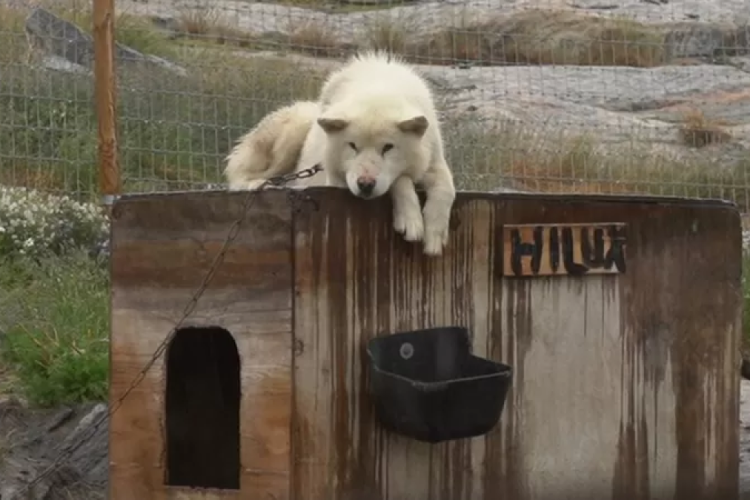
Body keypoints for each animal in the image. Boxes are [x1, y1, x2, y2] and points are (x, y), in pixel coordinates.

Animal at [296, 50, 456, 256]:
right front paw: (410, 220)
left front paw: (435, 236)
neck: (379, 92)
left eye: (388, 147)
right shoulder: (339, 181)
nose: (365, 184)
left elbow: (447, 189)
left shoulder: (433, 162)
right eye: (353, 146)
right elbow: (401, 180)